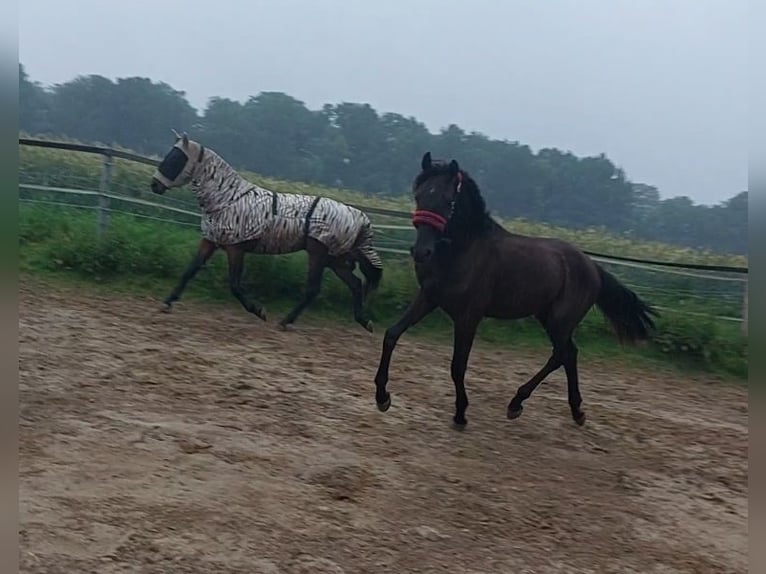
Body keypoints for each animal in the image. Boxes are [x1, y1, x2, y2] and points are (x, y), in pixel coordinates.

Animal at [149, 132, 383, 332]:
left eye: (175, 159)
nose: (154, 185)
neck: (227, 200)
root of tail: (357, 214)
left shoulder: (235, 248)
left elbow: (235, 285)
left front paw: (258, 310)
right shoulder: (210, 241)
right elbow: (190, 271)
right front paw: (167, 303)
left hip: (319, 254)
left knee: (313, 289)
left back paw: (285, 321)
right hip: (335, 258)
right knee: (355, 284)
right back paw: (364, 321)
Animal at [373, 152, 658, 429]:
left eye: (447, 200)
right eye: (419, 195)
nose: (421, 252)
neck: (464, 252)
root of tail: (592, 267)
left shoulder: (468, 316)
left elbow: (458, 366)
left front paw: (461, 414)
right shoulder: (428, 298)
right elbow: (391, 334)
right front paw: (382, 397)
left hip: (560, 321)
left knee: (562, 354)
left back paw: (520, 403)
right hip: (547, 317)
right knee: (569, 354)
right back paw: (571, 410)